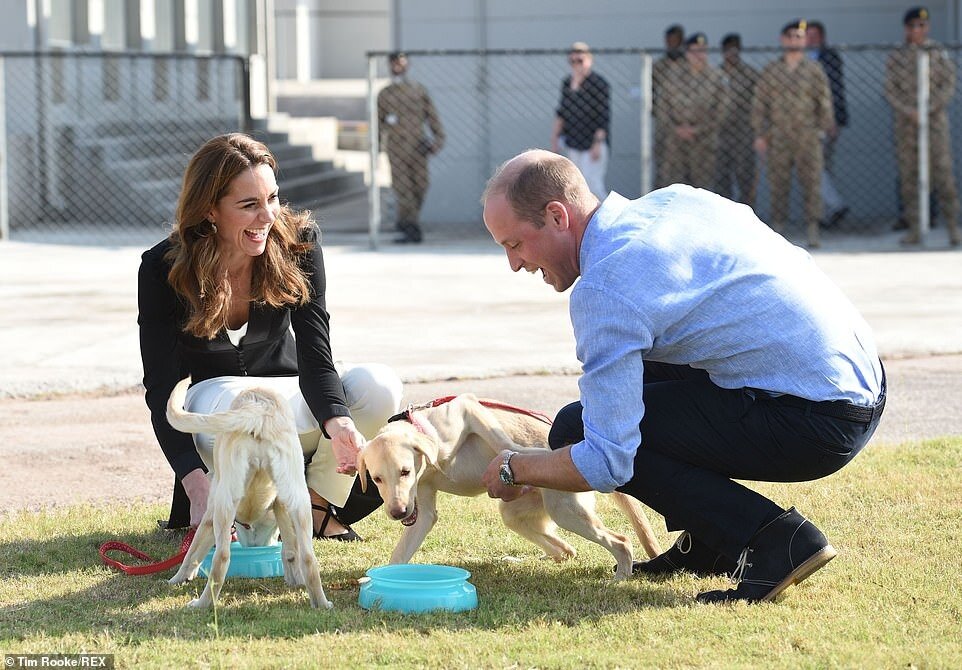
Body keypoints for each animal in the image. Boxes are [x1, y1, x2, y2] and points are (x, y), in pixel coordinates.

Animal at [165, 380, 330, 612]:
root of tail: (259, 410)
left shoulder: (210, 512)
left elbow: (192, 552)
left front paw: (177, 578)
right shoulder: (281, 504)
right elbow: (290, 550)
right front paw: (295, 579)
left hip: (225, 501)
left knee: (221, 558)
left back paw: (201, 604)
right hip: (299, 497)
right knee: (308, 557)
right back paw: (322, 603)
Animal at [352, 396, 660, 580]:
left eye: (405, 471)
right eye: (376, 478)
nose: (398, 512)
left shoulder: (467, 407)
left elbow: (501, 440)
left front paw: (522, 453)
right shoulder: (423, 512)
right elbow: (400, 554)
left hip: (566, 512)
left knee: (621, 541)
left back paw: (621, 576)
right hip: (515, 514)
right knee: (566, 550)